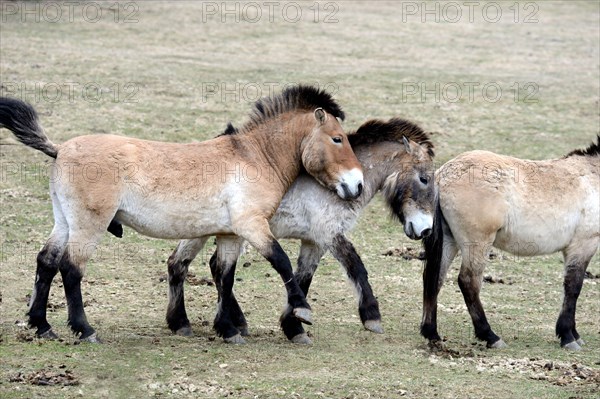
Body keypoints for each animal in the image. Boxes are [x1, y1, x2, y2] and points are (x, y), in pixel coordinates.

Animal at [0, 85, 366, 344]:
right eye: (337, 139)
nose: (357, 185)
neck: (254, 157)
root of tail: (60, 148)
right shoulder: (252, 226)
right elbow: (281, 261)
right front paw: (301, 311)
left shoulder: (230, 234)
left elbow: (226, 276)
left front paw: (228, 330)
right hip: (89, 226)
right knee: (71, 268)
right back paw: (84, 330)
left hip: (64, 222)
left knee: (46, 262)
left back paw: (42, 326)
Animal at [166, 116, 434, 344]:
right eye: (424, 179)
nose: (426, 230)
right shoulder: (329, 234)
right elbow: (355, 266)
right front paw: (371, 316)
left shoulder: (314, 242)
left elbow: (303, 278)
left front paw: (294, 326)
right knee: (189, 265)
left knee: (189, 264)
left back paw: (206, 323)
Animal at [422, 139, 600, 352]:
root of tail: (443, 175)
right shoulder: (583, 245)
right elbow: (573, 287)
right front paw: (568, 336)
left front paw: (574, 334)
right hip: (477, 244)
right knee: (468, 282)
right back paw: (490, 336)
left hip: (449, 241)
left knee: (434, 278)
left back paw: (431, 333)